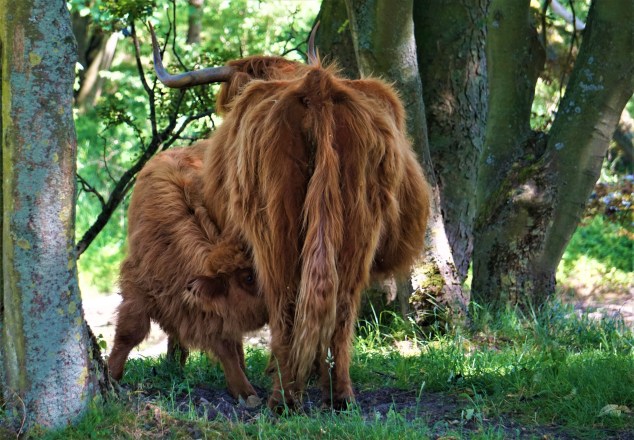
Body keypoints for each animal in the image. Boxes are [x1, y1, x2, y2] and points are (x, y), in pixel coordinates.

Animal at [107, 144, 268, 400]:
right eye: (249, 277)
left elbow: (226, 343)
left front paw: (244, 390)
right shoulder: (137, 288)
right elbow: (129, 333)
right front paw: (112, 375)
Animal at [149, 23, 431, 410]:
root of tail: (317, 88)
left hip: (275, 229)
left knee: (285, 303)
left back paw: (283, 397)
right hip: (359, 228)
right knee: (341, 310)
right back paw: (339, 394)